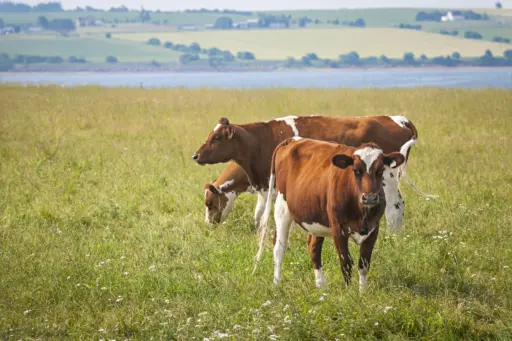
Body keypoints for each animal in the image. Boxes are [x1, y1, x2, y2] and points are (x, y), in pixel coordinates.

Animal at [192, 115, 428, 231]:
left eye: (216, 138)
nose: (196, 155)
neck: (260, 140)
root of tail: (397, 118)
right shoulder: (264, 186)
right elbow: (259, 214)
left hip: (387, 179)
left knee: (394, 207)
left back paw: (392, 236)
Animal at [254, 137, 406, 288]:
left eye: (381, 170)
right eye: (356, 170)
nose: (369, 198)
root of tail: (293, 139)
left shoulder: (374, 229)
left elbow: (363, 264)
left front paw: (363, 291)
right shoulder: (338, 228)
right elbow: (346, 263)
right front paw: (349, 291)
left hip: (315, 216)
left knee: (313, 247)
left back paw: (321, 285)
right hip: (282, 208)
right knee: (279, 247)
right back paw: (277, 283)